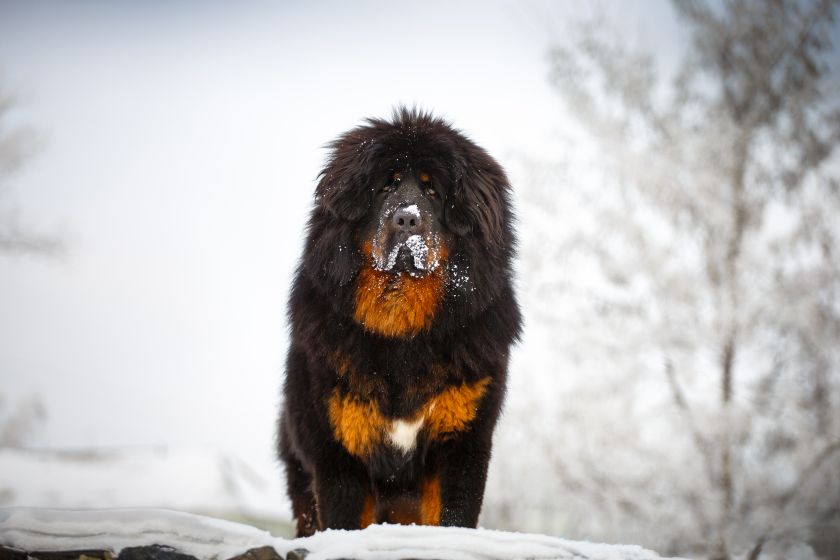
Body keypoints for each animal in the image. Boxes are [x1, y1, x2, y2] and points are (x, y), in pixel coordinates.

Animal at [278, 107, 520, 536]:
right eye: (385, 187)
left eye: (433, 191)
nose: (406, 219)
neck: (402, 332)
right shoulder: (339, 453)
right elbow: (343, 525)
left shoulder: (462, 444)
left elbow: (452, 519)